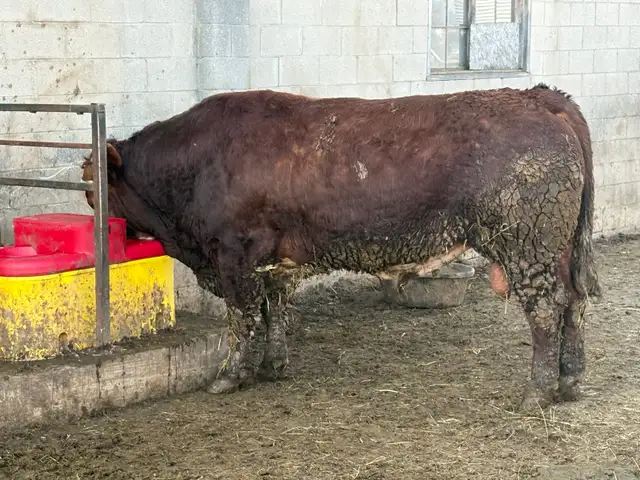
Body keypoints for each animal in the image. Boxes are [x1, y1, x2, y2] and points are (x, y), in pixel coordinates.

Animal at [81, 83, 601, 412]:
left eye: (90, 187)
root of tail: (538, 97)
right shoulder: (272, 262)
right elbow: (274, 310)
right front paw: (273, 366)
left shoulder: (234, 256)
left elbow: (243, 318)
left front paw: (229, 376)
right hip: (556, 250)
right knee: (573, 302)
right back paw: (570, 381)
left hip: (528, 243)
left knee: (546, 309)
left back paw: (538, 391)